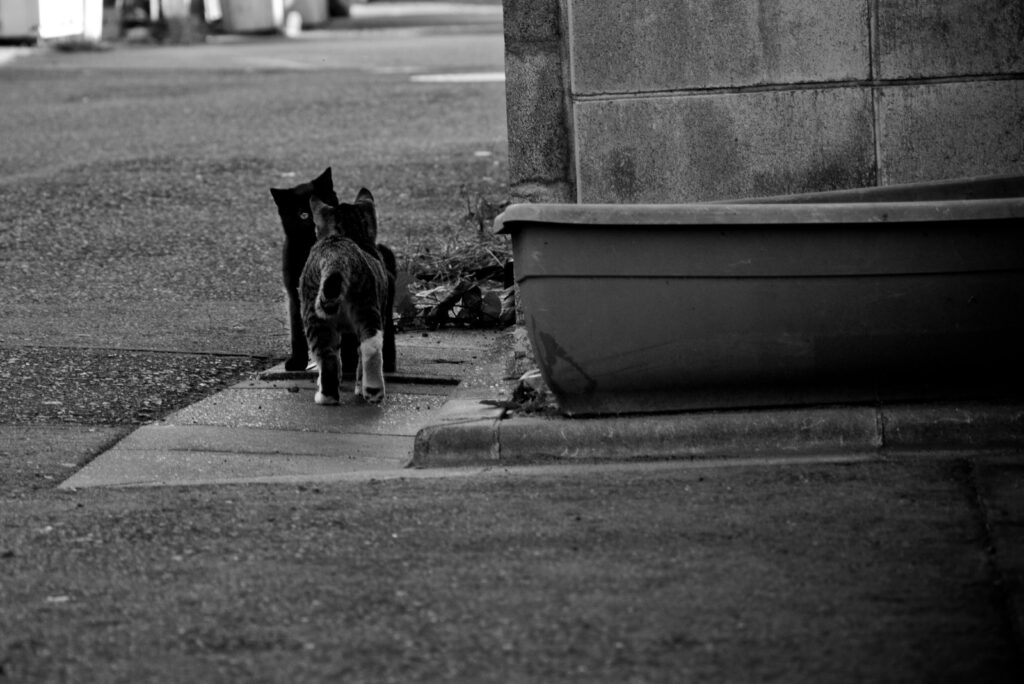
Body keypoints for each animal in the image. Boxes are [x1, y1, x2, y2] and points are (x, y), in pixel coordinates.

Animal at [301, 189, 389, 405]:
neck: (352, 233)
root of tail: (337, 256)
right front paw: (359, 387)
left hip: (313, 314)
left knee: (327, 356)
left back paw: (326, 396)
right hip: (367, 304)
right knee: (371, 346)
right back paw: (373, 391)